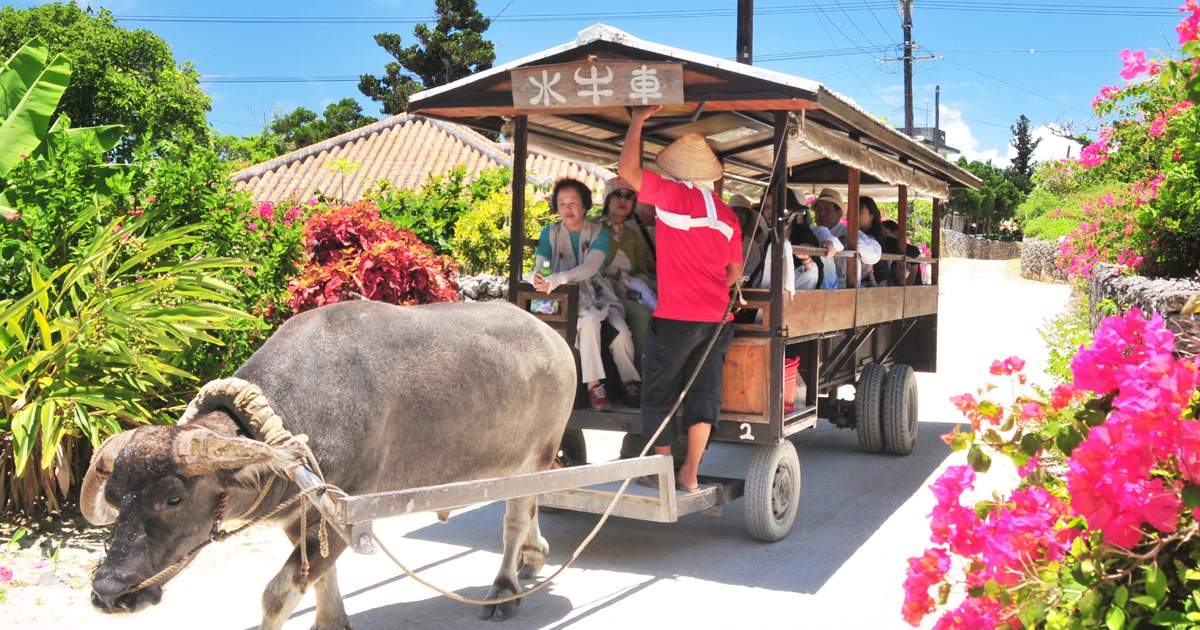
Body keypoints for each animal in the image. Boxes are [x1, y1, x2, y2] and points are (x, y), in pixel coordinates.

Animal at [81, 301, 576, 628]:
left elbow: (277, 595)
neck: (291, 417)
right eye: (115, 498)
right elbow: (321, 579)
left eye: (173, 498)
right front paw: (332, 622)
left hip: (537, 454)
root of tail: (553, 339)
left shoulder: (348, 513)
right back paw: (534, 556)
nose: (108, 590)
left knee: (515, 517)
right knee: (530, 507)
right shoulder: (303, 516)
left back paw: (505, 589)